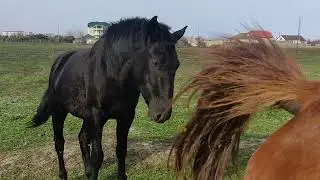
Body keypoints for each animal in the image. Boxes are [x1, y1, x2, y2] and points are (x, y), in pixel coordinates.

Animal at [29, 16, 188, 179]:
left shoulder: (125, 116)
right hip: (59, 111)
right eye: (155, 62)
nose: (162, 114)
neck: (111, 73)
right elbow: (97, 156)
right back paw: (63, 174)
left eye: (177, 65)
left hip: (86, 117)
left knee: (82, 137)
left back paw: (87, 171)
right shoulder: (96, 116)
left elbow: (121, 150)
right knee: (59, 143)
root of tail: (59, 63)